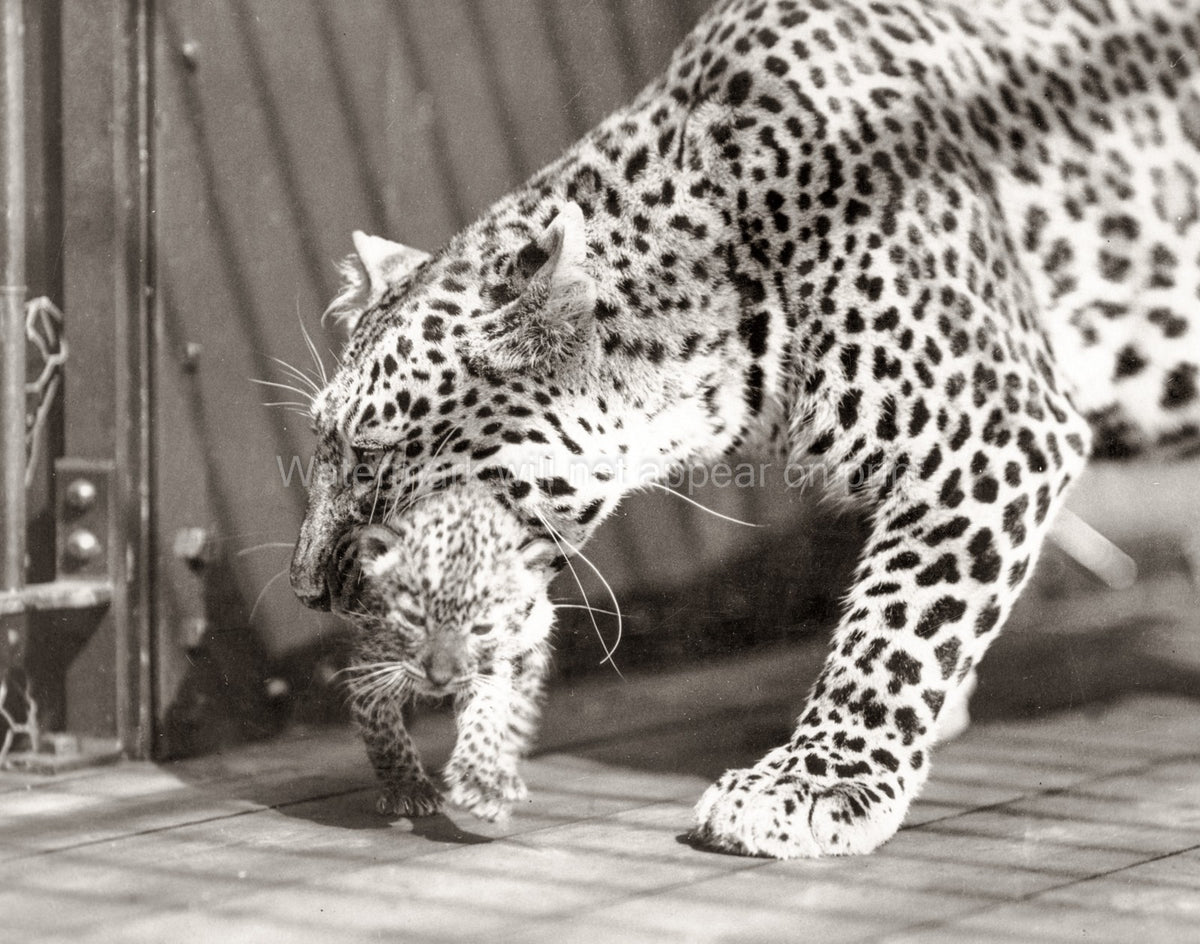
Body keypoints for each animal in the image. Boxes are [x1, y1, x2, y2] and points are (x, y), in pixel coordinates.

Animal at [328, 486, 556, 822]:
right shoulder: (371, 667)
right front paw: (408, 789)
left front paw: (479, 785)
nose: (440, 678)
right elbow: (385, 732)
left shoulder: (488, 671)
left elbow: (486, 721)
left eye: (482, 629)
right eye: (413, 619)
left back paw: (502, 774)